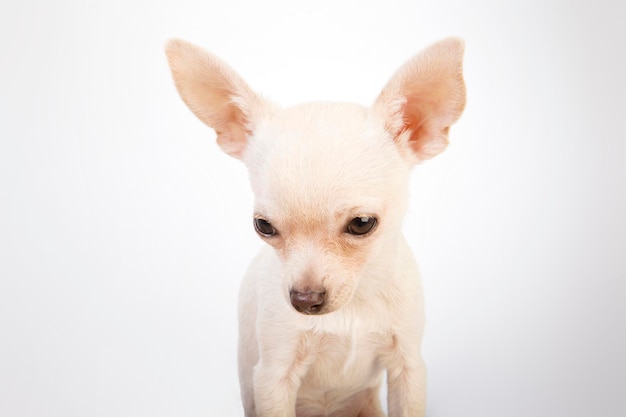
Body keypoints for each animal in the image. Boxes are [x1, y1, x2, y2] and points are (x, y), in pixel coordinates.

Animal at [165, 38, 464, 416]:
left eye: (362, 224)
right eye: (263, 226)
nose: (305, 300)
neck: (354, 305)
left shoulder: (408, 366)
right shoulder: (272, 378)